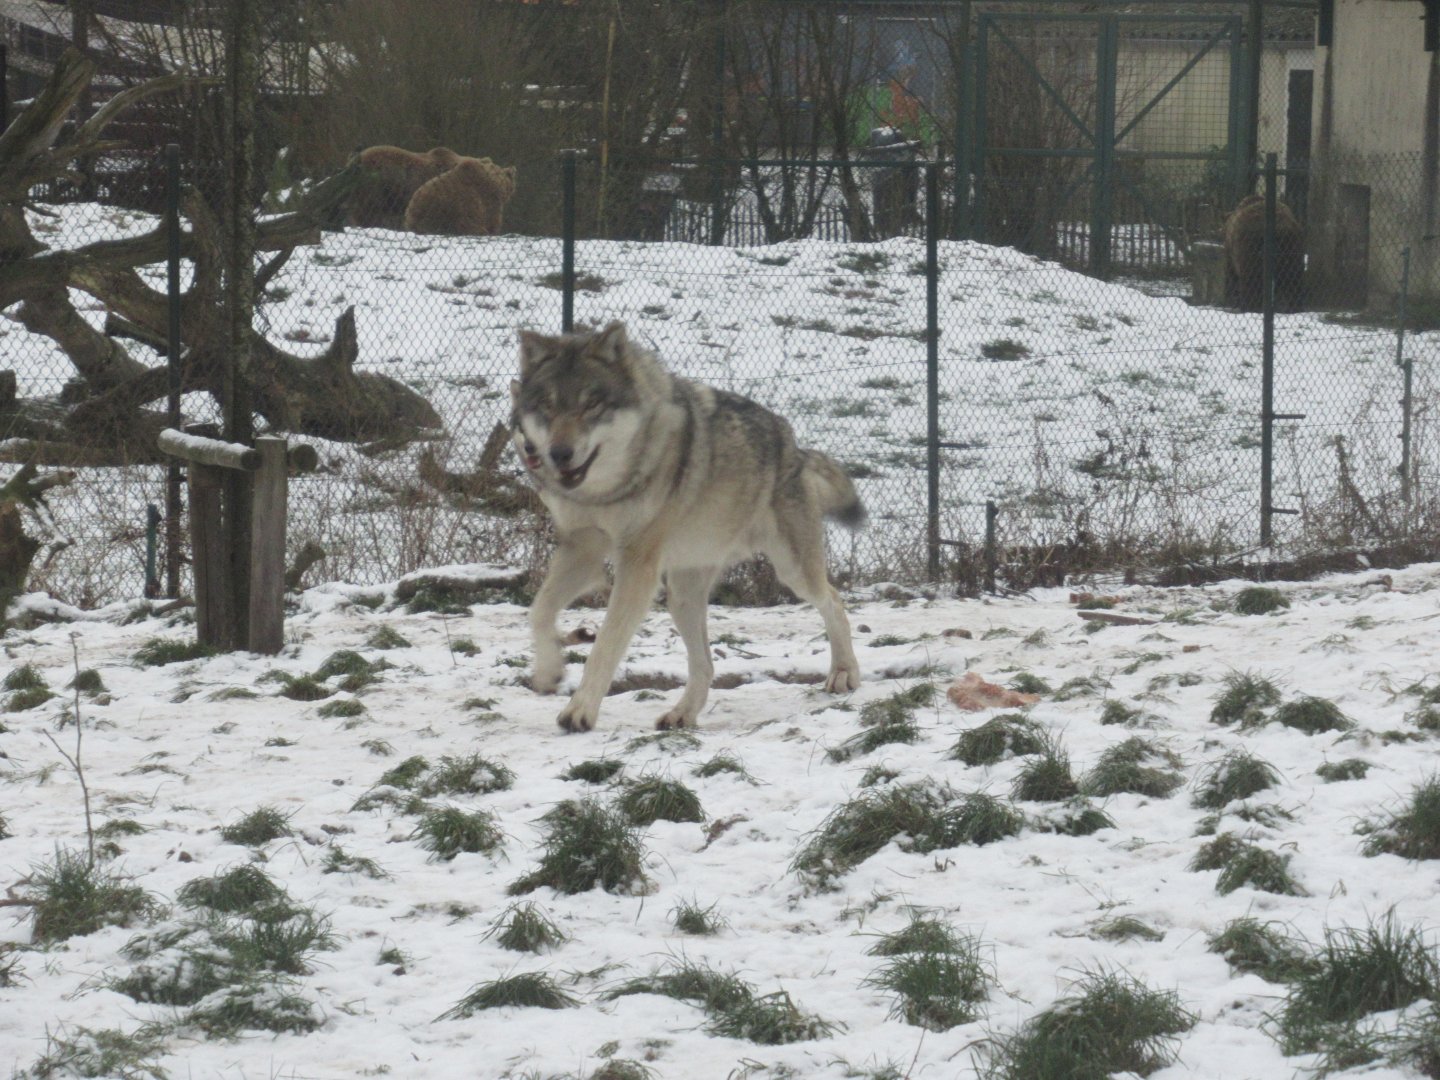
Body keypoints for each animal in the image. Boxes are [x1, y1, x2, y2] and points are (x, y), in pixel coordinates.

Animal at [510, 321, 865, 733]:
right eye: (547, 407)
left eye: (591, 405)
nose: (557, 454)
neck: (607, 490)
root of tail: (795, 445)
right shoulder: (582, 549)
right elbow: (539, 611)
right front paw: (549, 671)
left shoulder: (638, 566)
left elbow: (605, 644)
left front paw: (579, 711)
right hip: (682, 596)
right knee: (705, 665)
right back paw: (683, 714)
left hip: (792, 572)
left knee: (834, 601)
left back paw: (844, 673)